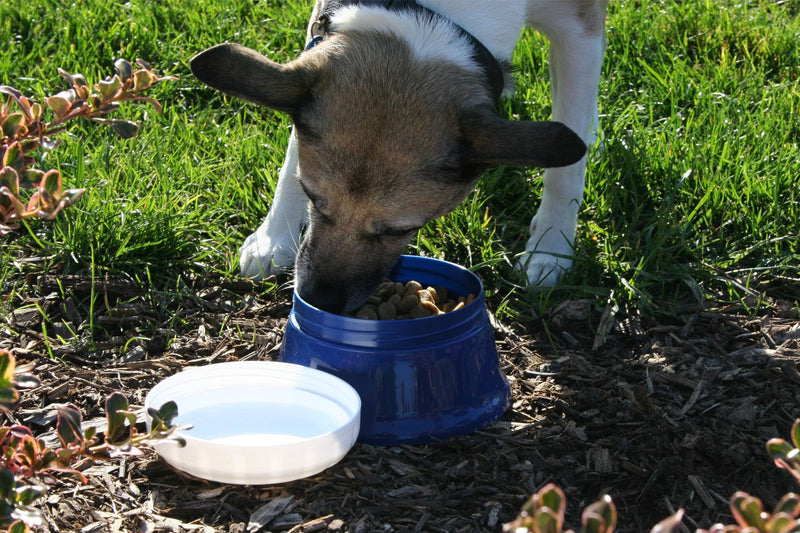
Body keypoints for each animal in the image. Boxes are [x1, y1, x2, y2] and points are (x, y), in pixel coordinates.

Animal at [192, 0, 608, 314]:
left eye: (400, 230)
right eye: (313, 197)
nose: (319, 300)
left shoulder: (579, 29)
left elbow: (566, 166)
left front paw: (551, 249)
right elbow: (294, 143)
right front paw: (274, 235)